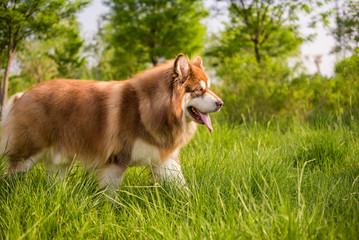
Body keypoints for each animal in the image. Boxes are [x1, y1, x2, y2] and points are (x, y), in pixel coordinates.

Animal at [0, 54, 224, 189]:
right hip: (26, 157)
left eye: (209, 88)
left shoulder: (164, 160)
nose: (221, 103)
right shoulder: (116, 162)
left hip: (60, 162)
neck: (147, 109)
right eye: (199, 90)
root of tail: (22, 95)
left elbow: (182, 187)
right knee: (10, 174)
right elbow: (109, 198)